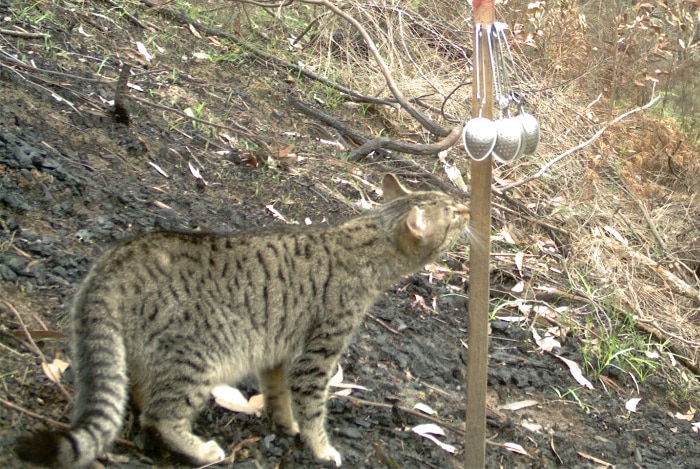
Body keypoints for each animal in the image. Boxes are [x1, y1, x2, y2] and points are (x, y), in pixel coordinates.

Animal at [13, 174, 468, 466]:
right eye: (453, 214)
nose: (467, 206)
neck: (366, 241)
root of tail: (117, 256)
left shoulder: (278, 353)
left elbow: (278, 396)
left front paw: (285, 425)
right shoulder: (317, 356)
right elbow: (313, 409)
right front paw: (321, 448)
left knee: (140, 398)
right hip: (198, 360)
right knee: (160, 415)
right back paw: (200, 450)